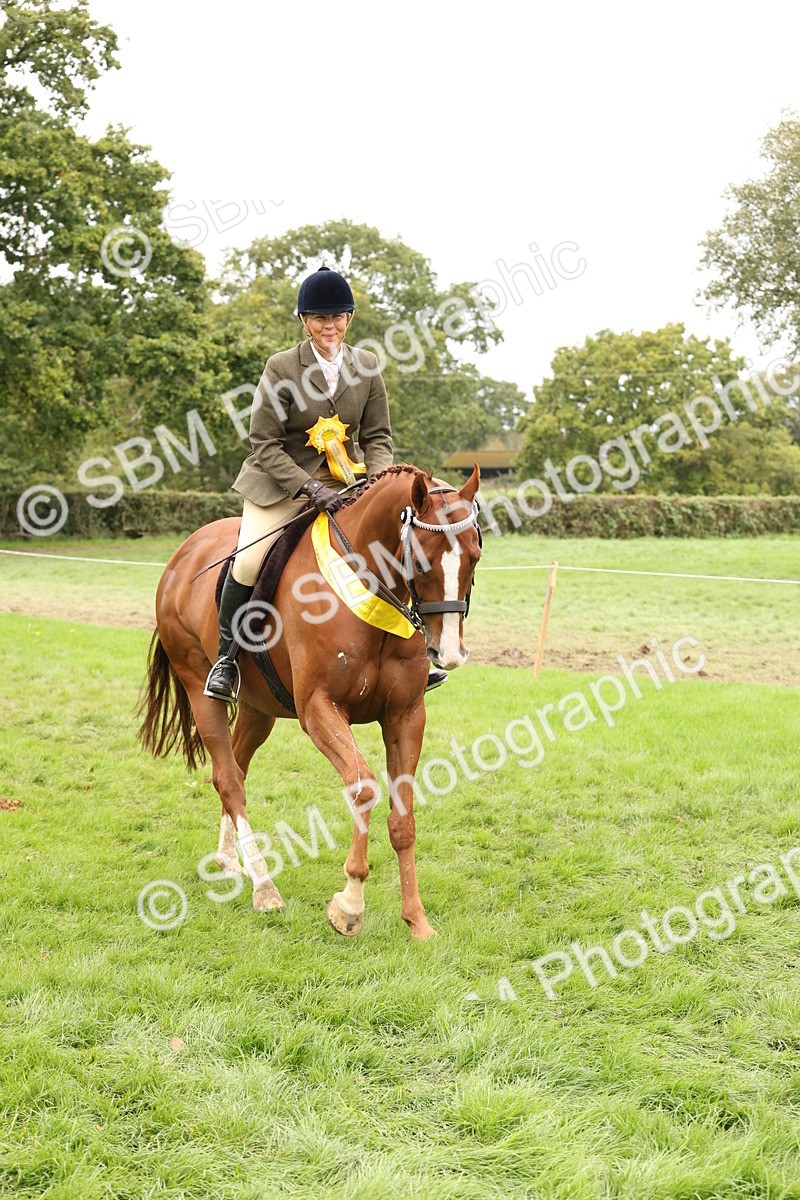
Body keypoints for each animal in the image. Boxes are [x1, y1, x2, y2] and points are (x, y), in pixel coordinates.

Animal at [136, 463, 481, 939]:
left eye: (475, 556)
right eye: (422, 559)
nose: (447, 653)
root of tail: (182, 553)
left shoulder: (406, 716)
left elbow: (403, 817)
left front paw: (417, 920)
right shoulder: (320, 709)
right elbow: (363, 787)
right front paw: (349, 905)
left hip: (258, 708)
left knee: (235, 769)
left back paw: (228, 861)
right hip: (198, 686)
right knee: (229, 779)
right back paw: (264, 888)